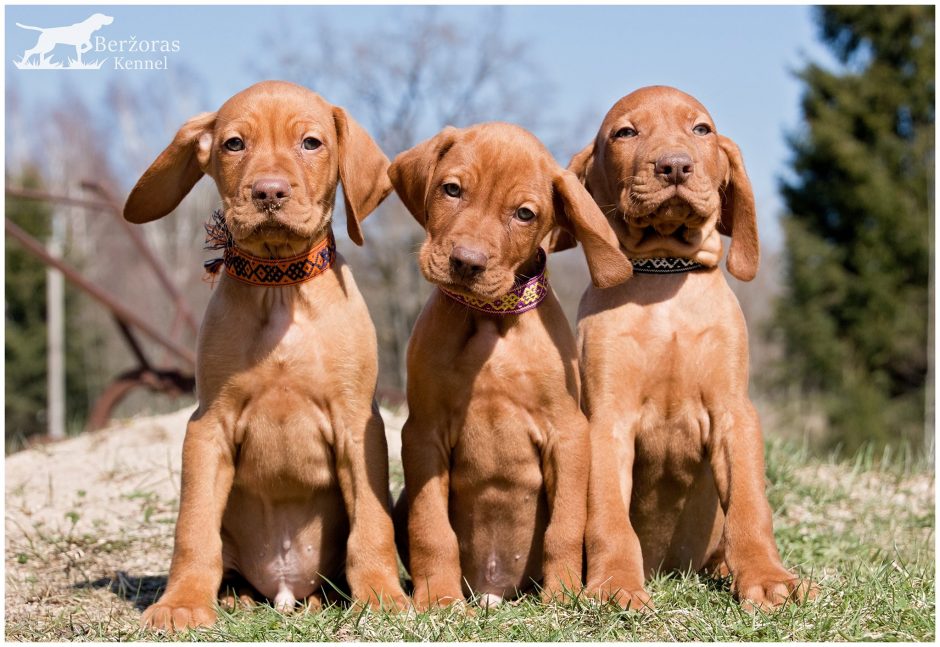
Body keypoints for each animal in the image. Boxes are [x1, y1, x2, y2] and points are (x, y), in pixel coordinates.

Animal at [123, 78, 406, 632]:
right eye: (234, 144)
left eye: (311, 143)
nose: (269, 191)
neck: (280, 290)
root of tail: (283, 588)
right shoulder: (208, 425)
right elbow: (193, 528)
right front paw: (182, 603)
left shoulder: (357, 423)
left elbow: (372, 523)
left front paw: (383, 596)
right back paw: (234, 596)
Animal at [386, 123, 636, 612]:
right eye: (452, 190)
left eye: (523, 214)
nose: (466, 262)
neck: (490, 320)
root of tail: (494, 587)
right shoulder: (422, 433)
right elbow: (431, 528)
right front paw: (438, 597)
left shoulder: (567, 434)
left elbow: (565, 527)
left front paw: (562, 595)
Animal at [568, 86, 820, 612]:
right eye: (625, 132)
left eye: (701, 129)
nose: (675, 166)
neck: (666, 276)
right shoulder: (607, 420)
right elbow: (608, 514)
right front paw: (615, 582)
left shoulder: (733, 413)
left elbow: (750, 505)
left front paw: (768, 578)